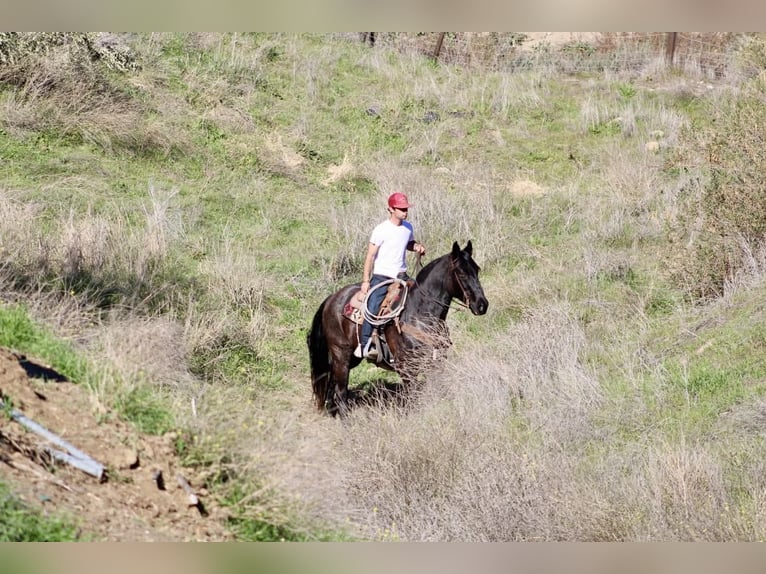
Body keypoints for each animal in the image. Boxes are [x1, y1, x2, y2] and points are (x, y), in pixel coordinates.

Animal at [307, 240, 489, 416]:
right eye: (462, 273)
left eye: (477, 270)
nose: (482, 305)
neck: (419, 313)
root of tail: (331, 299)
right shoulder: (406, 368)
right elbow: (414, 398)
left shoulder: (435, 363)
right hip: (341, 355)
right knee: (340, 392)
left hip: (350, 358)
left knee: (332, 385)